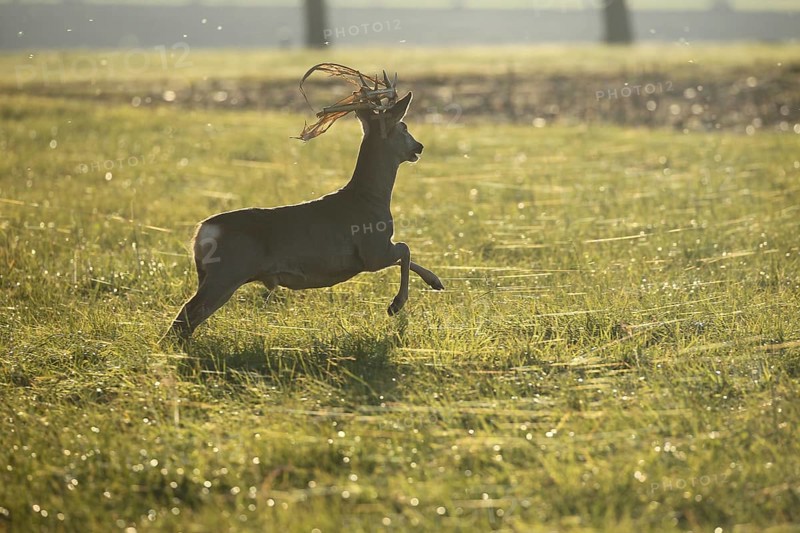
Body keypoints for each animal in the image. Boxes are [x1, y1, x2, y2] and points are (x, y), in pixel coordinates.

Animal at [166, 65, 444, 341]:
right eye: (404, 127)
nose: (419, 146)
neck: (369, 197)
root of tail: (201, 231)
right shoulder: (372, 250)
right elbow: (405, 249)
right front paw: (396, 304)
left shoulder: (373, 253)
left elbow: (406, 254)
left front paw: (435, 282)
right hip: (228, 271)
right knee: (185, 315)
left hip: (210, 274)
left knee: (187, 319)